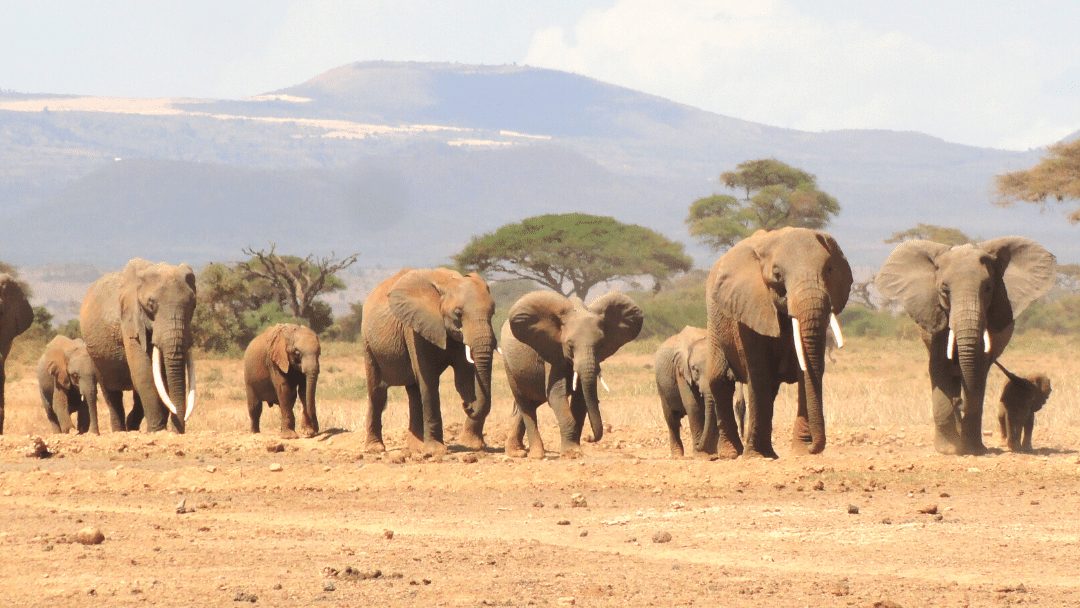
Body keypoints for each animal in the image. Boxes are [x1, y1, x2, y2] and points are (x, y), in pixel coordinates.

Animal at [80, 259, 197, 433]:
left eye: (193, 304)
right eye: (151, 304)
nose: (178, 432)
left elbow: (160, 378)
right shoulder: (130, 321)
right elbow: (145, 373)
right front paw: (157, 432)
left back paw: (132, 427)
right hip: (95, 354)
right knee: (111, 393)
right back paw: (120, 431)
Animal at [361, 268, 496, 455]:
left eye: (493, 313)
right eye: (458, 314)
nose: (467, 406)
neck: (447, 283)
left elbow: (463, 380)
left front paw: (474, 446)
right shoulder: (414, 327)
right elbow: (429, 380)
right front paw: (437, 450)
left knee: (414, 393)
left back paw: (417, 447)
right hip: (368, 342)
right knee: (377, 392)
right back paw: (375, 448)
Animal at [502, 290, 643, 459]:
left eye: (601, 345)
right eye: (569, 346)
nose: (589, 438)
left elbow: (581, 399)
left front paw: (574, 450)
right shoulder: (553, 353)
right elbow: (556, 395)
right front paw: (572, 454)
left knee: (533, 401)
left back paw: (516, 452)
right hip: (508, 365)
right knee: (525, 403)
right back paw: (536, 455)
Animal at [704, 227, 853, 459]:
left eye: (829, 269)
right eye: (777, 275)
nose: (814, 448)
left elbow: (808, 370)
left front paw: (801, 451)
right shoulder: (748, 308)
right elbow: (759, 374)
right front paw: (756, 456)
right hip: (715, 320)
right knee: (719, 379)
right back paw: (732, 453)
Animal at [876, 237, 1055, 455]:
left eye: (988, 288)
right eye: (944, 290)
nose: (958, 403)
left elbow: (977, 372)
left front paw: (973, 450)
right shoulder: (935, 315)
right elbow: (939, 366)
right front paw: (949, 450)